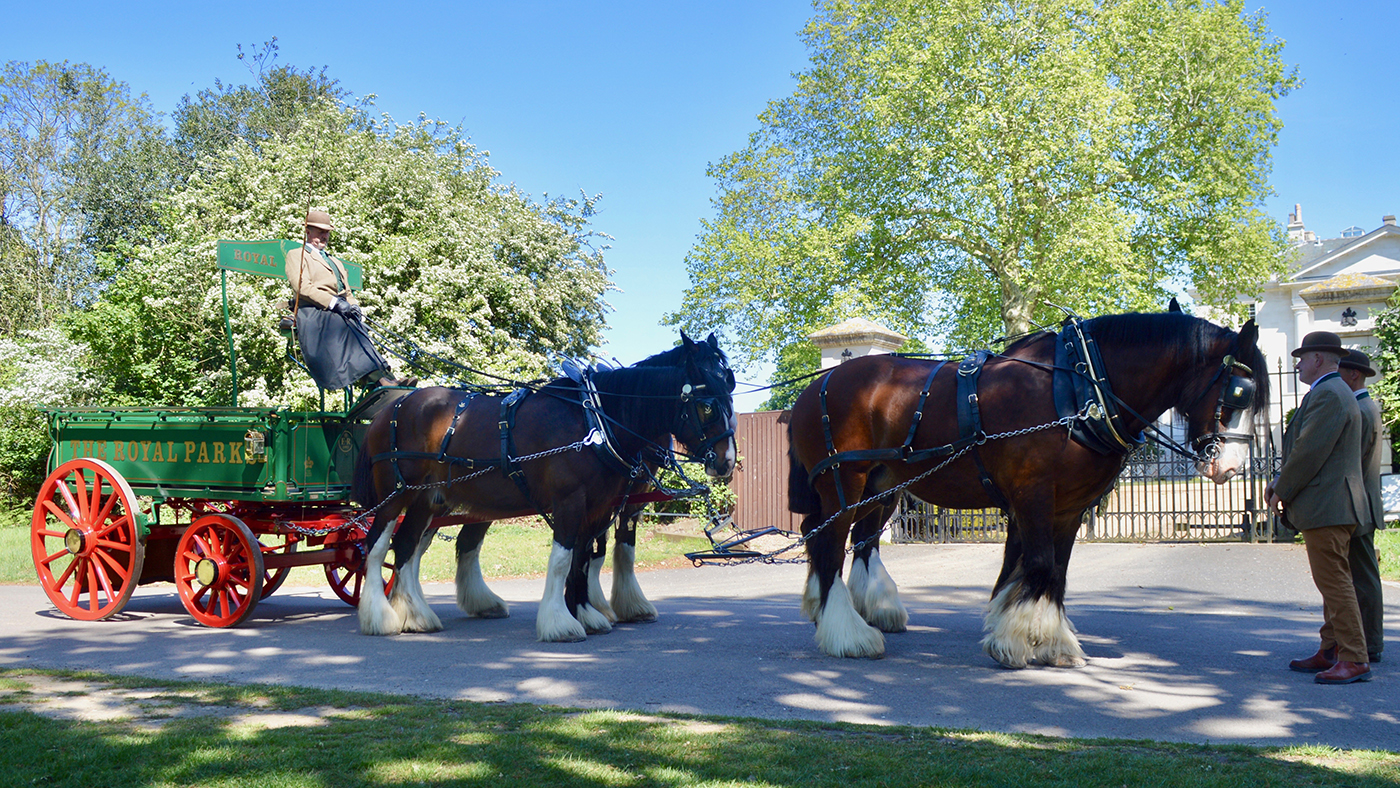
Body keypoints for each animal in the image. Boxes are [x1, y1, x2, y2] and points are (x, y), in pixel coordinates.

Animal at [351, 332, 737, 640]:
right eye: (706, 405)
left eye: (730, 394)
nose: (727, 461)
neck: (594, 421)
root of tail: (392, 408)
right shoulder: (571, 501)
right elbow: (564, 559)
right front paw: (560, 622)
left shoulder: (601, 505)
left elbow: (586, 556)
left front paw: (587, 612)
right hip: (394, 495)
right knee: (377, 546)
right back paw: (380, 617)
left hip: (428, 500)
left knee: (407, 547)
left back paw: (417, 615)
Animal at [785, 312, 1268, 667]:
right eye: (1239, 393)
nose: (1231, 466)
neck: (1079, 387)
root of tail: (814, 386)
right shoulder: (1034, 493)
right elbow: (1038, 563)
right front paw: (1018, 641)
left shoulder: (1069, 506)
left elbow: (1055, 570)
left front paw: (1049, 641)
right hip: (845, 482)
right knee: (830, 542)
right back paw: (847, 633)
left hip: (884, 485)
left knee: (854, 538)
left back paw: (855, 610)